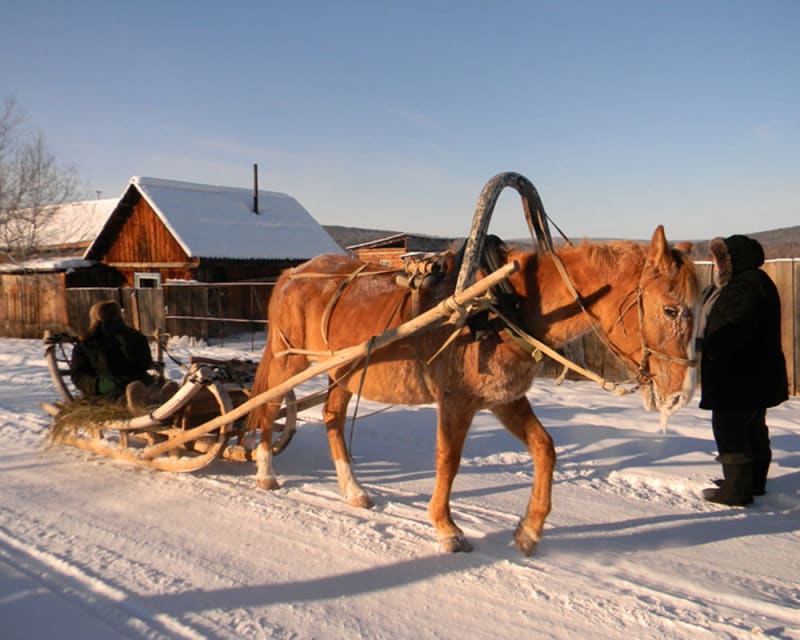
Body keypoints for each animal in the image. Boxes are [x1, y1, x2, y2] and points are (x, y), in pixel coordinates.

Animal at [246, 225, 699, 555]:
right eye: (671, 309)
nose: (681, 395)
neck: (503, 305)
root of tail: (293, 274)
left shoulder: (505, 399)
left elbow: (545, 449)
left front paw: (530, 530)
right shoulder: (456, 400)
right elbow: (448, 460)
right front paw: (447, 528)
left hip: (343, 370)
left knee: (332, 418)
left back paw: (353, 490)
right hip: (289, 360)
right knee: (268, 408)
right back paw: (266, 472)